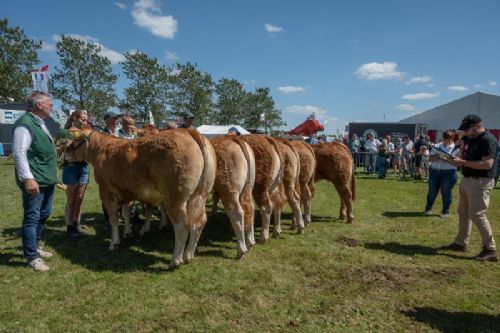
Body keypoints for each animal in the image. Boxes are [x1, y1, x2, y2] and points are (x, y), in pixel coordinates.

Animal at [63, 128, 216, 268]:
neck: (100, 148)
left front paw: (114, 243)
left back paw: (175, 260)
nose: (64, 154)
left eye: (75, 140)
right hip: (200, 194)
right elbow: (126, 213)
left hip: (175, 197)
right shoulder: (126, 191)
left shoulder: (106, 192)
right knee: (199, 222)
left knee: (182, 225)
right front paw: (128, 232)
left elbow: (114, 219)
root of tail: (187, 131)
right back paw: (188, 255)